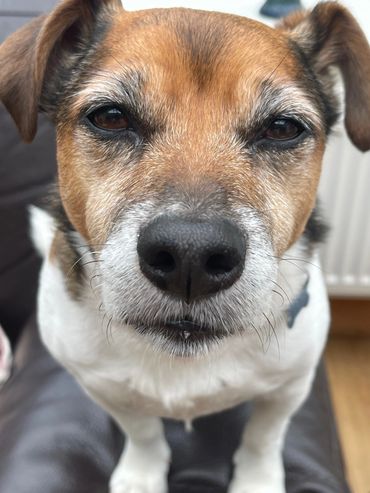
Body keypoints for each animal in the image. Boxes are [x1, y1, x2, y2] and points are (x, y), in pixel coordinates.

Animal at [0, 0, 370, 492]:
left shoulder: (290, 386)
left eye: (282, 127)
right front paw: (141, 474)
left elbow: (263, 437)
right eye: (111, 117)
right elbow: (142, 431)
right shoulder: (101, 384)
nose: (189, 257)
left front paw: (257, 480)